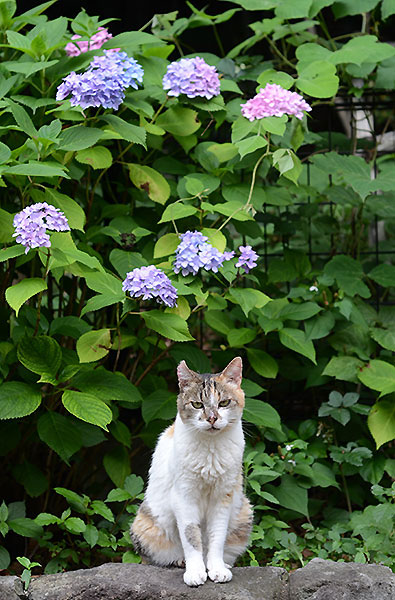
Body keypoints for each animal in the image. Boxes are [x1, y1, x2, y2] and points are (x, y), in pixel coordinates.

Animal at [131, 356, 254, 584]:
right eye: (197, 404)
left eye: (224, 403)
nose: (212, 418)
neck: (211, 450)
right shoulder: (184, 497)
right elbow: (191, 537)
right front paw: (195, 571)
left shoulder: (222, 498)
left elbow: (216, 537)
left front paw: (216, 569)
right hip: (145, 524)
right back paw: (181, 561)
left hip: (244, 512)